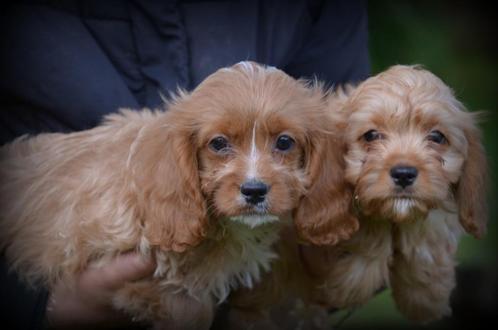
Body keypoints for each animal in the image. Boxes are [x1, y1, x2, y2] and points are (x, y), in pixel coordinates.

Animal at [318, 64, 488, 322]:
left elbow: (427, 228)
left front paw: (425, 297)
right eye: (371, 135)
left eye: (437, 137)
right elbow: (371, 228)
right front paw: (351, 285)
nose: (404, 174)